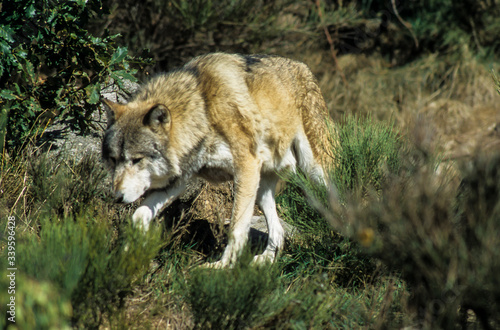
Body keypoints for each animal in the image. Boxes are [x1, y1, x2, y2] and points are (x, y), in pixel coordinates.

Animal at [101, 52, 328, 268]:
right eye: (113, 160)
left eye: (137, 160)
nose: (117, 197)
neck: (204, 111)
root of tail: (303, 66)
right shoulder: (178, 182)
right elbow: (138, 215)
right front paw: (126, 255)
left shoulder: (245, 166)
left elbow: (236, 228)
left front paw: (223, 266)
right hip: (261, 190)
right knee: (278, 231)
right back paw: (265, 260)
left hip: (314, 172)